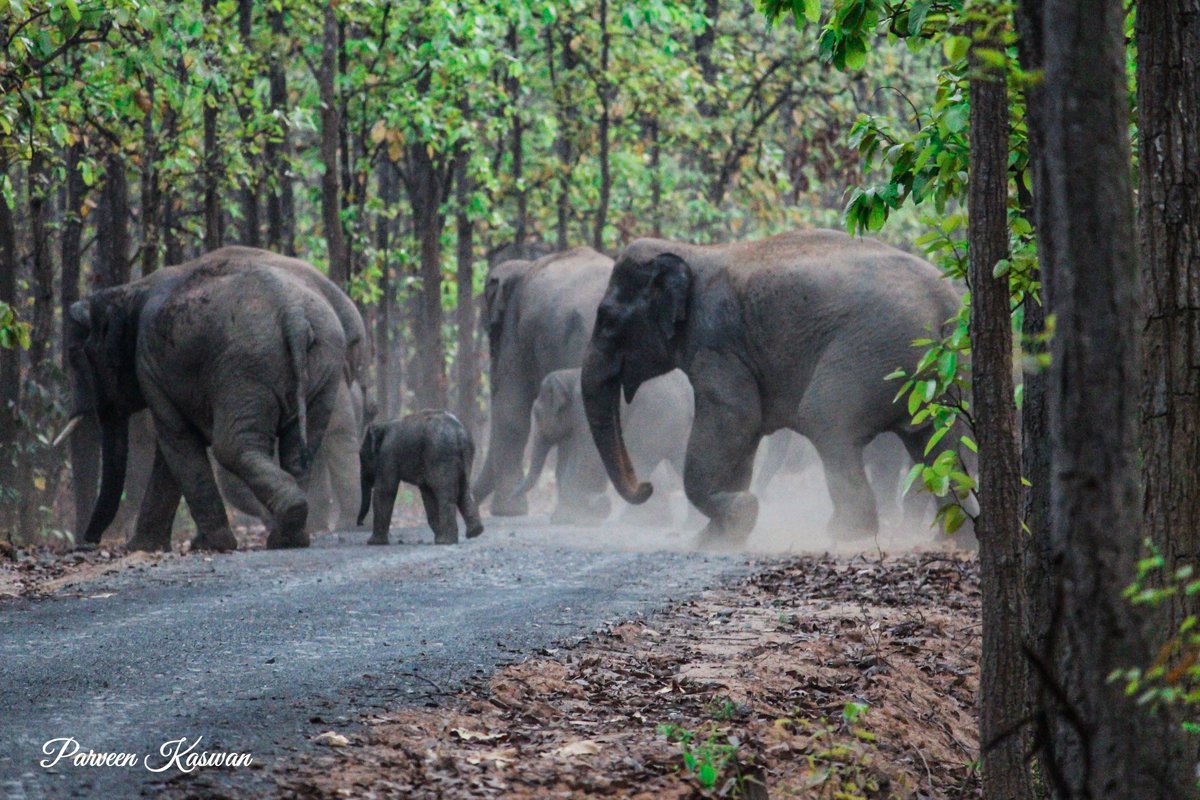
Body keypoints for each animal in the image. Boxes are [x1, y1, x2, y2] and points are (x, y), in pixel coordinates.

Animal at [59, 251, 347, 551]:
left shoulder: (149, 365)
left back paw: (281, 530)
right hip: (324, 364)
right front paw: (144, 547)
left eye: (79, 356)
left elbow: (178, 440)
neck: (129, 289)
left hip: (245, 366)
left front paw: (211, 545)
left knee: (232, 446)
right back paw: (289, 537)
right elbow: (171, 453)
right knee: (300, 448)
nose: (89, 542)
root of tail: (294, 315)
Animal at [357, 410, 484, 545]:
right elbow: (427, 494)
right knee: (463, 490)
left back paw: (446, 541)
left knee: (444, 493)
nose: (360, 523)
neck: (384, 424)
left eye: (362, 456)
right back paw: (474, 532)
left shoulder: (387, 455)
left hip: (440, 456)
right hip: (464, 456)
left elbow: (385, 490)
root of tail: (459, 433)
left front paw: (373, 543)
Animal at [508, 367, 694, 525]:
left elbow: (587, 456)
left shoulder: (585, 413)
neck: (570, 375)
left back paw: (630, 521)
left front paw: (573, 516)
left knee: (640, 460)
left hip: (654, 416)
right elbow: (565, 461)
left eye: (537, 414)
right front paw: (568, 515)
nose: (511, 495)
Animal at [581, 229, 963, 542]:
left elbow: (736, 417)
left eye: (607, 320)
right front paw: (716, 537)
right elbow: (745, 431)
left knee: (826, 420)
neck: (691, 253)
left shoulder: (717, 344)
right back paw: (954, 539)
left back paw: (843, 534)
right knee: (938, 440)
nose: (645, 487)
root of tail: (945, 305)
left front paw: (739, 513)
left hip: (876, 351)